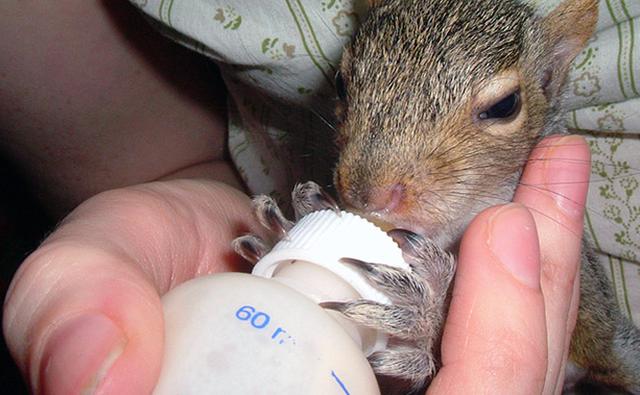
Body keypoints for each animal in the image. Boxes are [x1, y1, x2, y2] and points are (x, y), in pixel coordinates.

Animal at [236, 0, 640, 394]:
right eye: (340, 83)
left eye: (505, 105)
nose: (367, 195)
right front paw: (285, 229)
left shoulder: (592, 311)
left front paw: (427, 307)